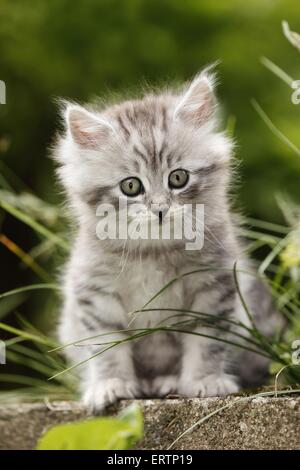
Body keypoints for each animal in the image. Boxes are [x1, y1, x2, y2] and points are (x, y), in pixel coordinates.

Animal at [54, 67, 282, 412]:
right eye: (131, 186)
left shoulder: (214, 287)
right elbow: (107, 348)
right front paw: (111, 385)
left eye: (178, 178)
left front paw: (204, 381)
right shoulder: (94, 292)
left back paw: (168, 382)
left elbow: (206, 343)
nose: (160, 209)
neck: (153, 251)